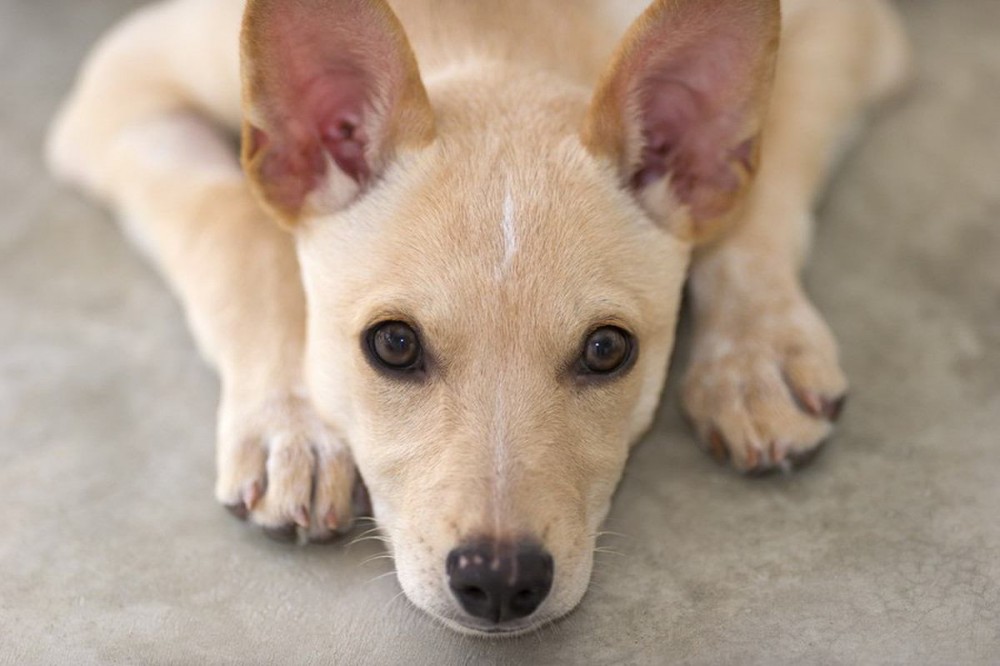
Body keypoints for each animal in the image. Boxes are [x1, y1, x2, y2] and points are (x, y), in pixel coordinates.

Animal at [45, 0, 908, 636]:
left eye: (607, 350)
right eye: (393, 345)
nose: (499, 581)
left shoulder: (847, 23)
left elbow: (757, 199)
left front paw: (755, 356)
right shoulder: (123, 85)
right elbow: (240, 230)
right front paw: (292, 423)